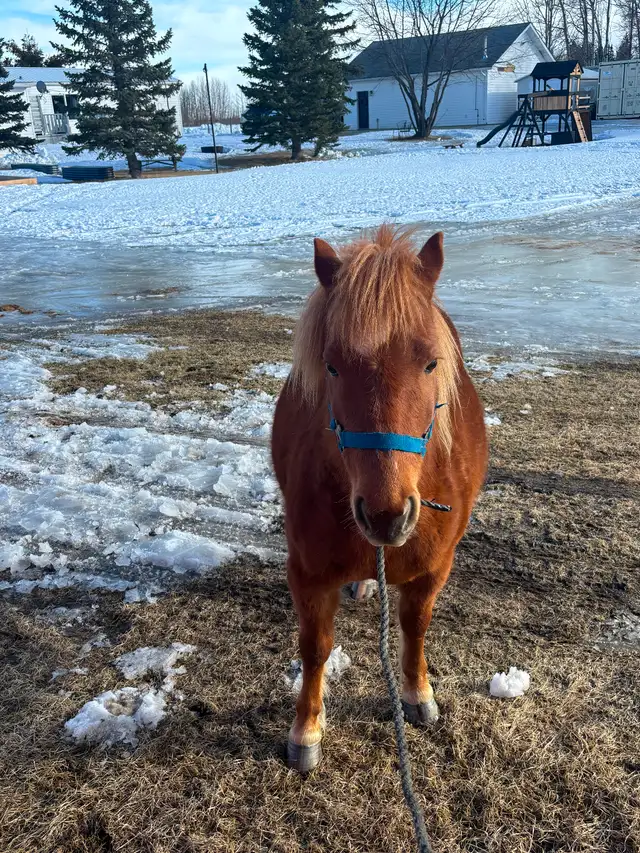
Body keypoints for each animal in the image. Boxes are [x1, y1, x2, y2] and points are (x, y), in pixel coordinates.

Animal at [271, 225, 488, 773]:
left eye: (431, 362)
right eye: (331, 367)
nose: (387, 515)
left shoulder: (436, 567)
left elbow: (415, 624)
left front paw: (417, 693)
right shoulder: (306, 573)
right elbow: (315, 646)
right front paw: (306, 729)